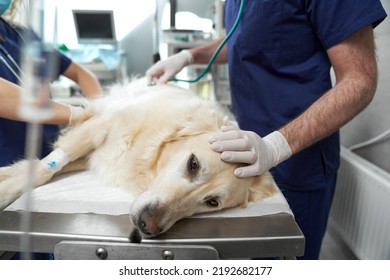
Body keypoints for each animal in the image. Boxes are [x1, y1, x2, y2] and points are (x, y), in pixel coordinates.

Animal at [0, 80, 276, 237]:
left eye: (212, 202)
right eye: (193, 164)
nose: (147, 225)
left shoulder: (93, 154)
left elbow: (42, 168)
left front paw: (10, 177)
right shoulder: (100, 126)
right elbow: (45, 168)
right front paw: (6, 187)